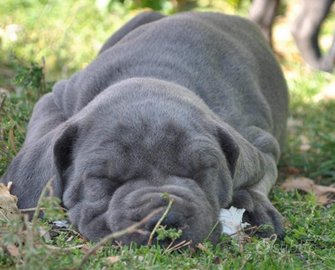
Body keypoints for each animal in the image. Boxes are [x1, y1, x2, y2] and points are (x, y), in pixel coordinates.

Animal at [0, 11, 288, 246]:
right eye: (101, 178)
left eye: (204, 170)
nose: (165, 219)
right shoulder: (56, 96)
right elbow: (44, 131)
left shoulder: (261, 140)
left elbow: (260, 174)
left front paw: (253, 204)